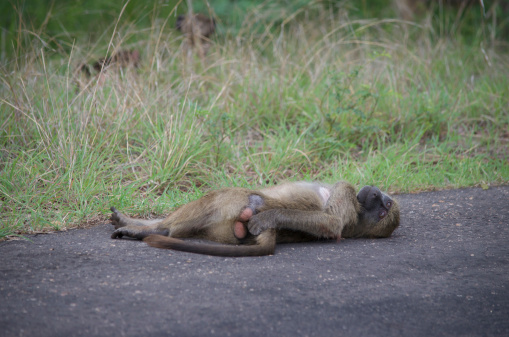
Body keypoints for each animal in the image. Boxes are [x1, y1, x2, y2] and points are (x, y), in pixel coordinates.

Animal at [109, 181, 398, 258]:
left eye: (385, 208)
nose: (376, 192)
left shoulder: (346, 192)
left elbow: (332, 222)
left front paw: (266, 218)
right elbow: (330, 223)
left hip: (230, 203)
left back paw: (153, 231)